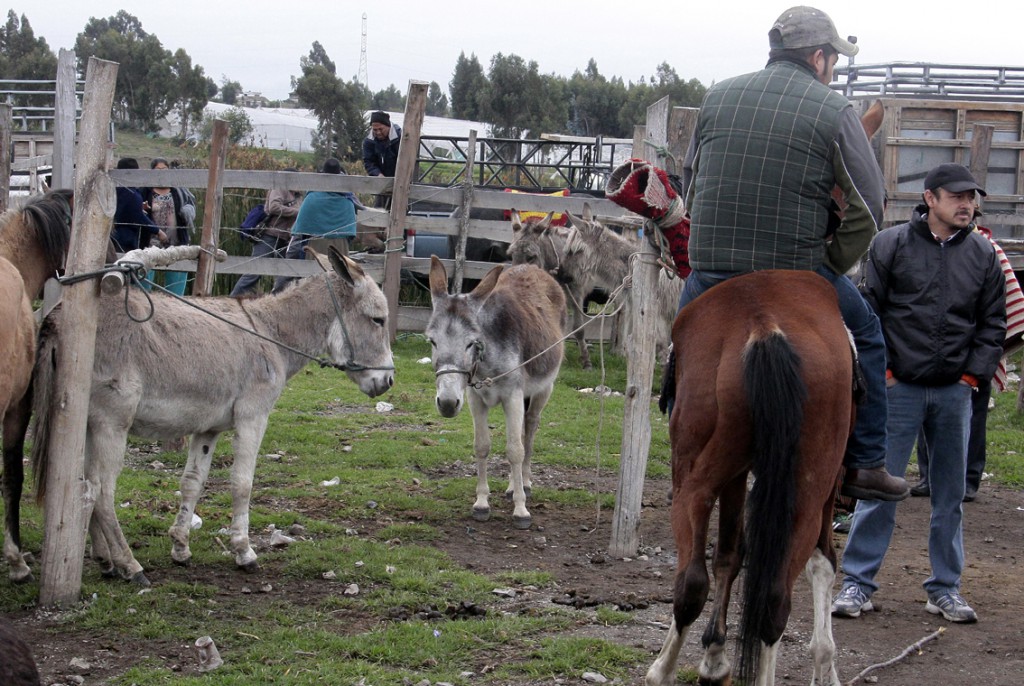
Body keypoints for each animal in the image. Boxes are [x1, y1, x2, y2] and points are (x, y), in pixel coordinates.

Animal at [647, 272, 856, 683]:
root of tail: (764, 326)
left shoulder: (732, 476)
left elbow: (727, 555)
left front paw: (714, 658)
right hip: (808, 493)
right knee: (778, 595)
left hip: (694, 480)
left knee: (693, 583)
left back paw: (661, 669)